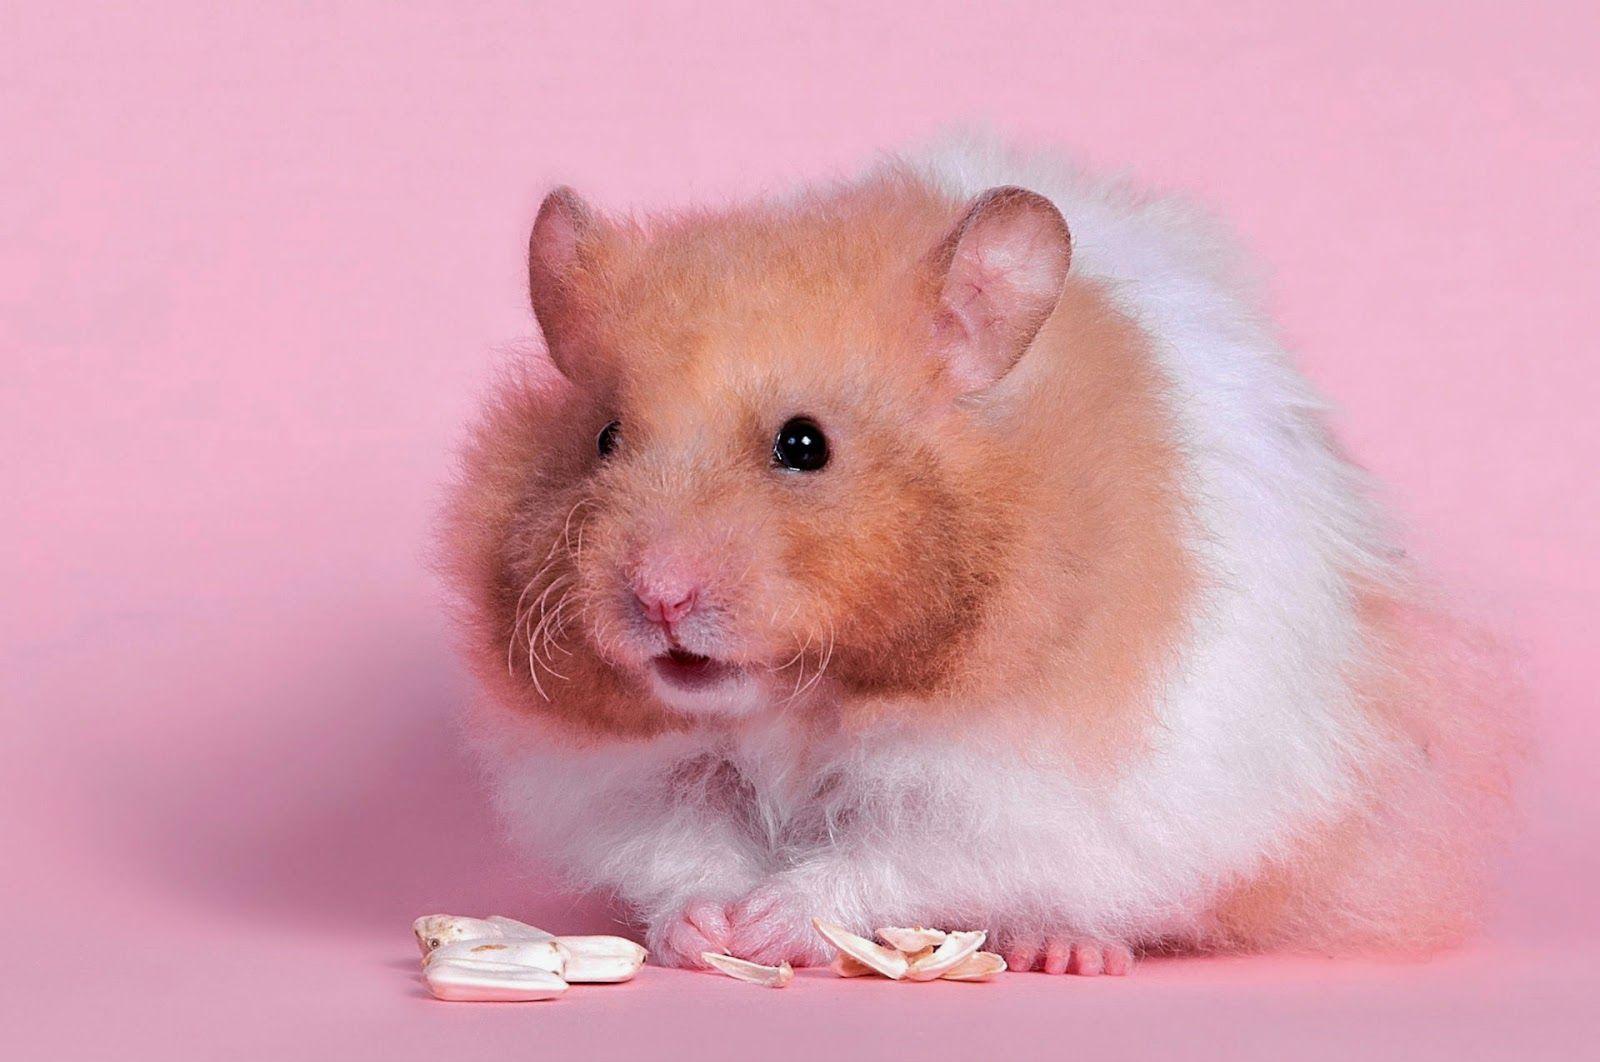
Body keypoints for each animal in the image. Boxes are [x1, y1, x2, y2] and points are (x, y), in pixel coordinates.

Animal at [441, 137, 1522, 975]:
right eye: (604, 439)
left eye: (803, 444)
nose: (657, 598)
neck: (801, 700)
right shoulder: (632, 778)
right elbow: (683, 848)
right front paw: (709, 929)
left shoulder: (1009, 787)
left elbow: (891, 856)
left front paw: (773, 923)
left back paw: (1065, 949)